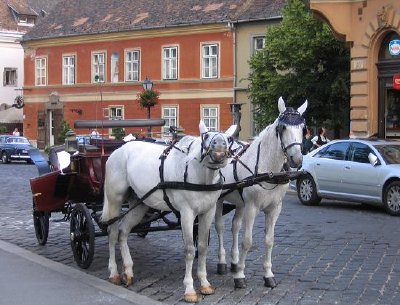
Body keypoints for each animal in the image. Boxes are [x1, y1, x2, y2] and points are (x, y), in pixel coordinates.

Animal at [101, 120, 236, 302]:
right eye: (206, 136)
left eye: (228, 139)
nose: (220, 148)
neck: (198, 175)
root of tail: (119, 151)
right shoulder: (187, 214)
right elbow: (189, 250)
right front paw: (189, 289)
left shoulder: (208, 212)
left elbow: (202, 247)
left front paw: (204, 283)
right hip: (115, 201)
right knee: (113, 233)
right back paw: (114, 272)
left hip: (140, 203)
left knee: (123, 232)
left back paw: (128, 271)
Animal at [216, 97, 306, 288]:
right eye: (283, 127)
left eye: (303, 127)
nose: (296, 159)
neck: (268, 169)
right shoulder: (251, 208)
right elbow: (247, 241)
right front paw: (240, 276)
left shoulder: (274, 209)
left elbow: (269, 240)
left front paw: (268, 274)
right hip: (218, 200)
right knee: (219, 227)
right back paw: (222, 262)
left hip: (239, 203)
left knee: (235, 226)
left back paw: (234, 262)